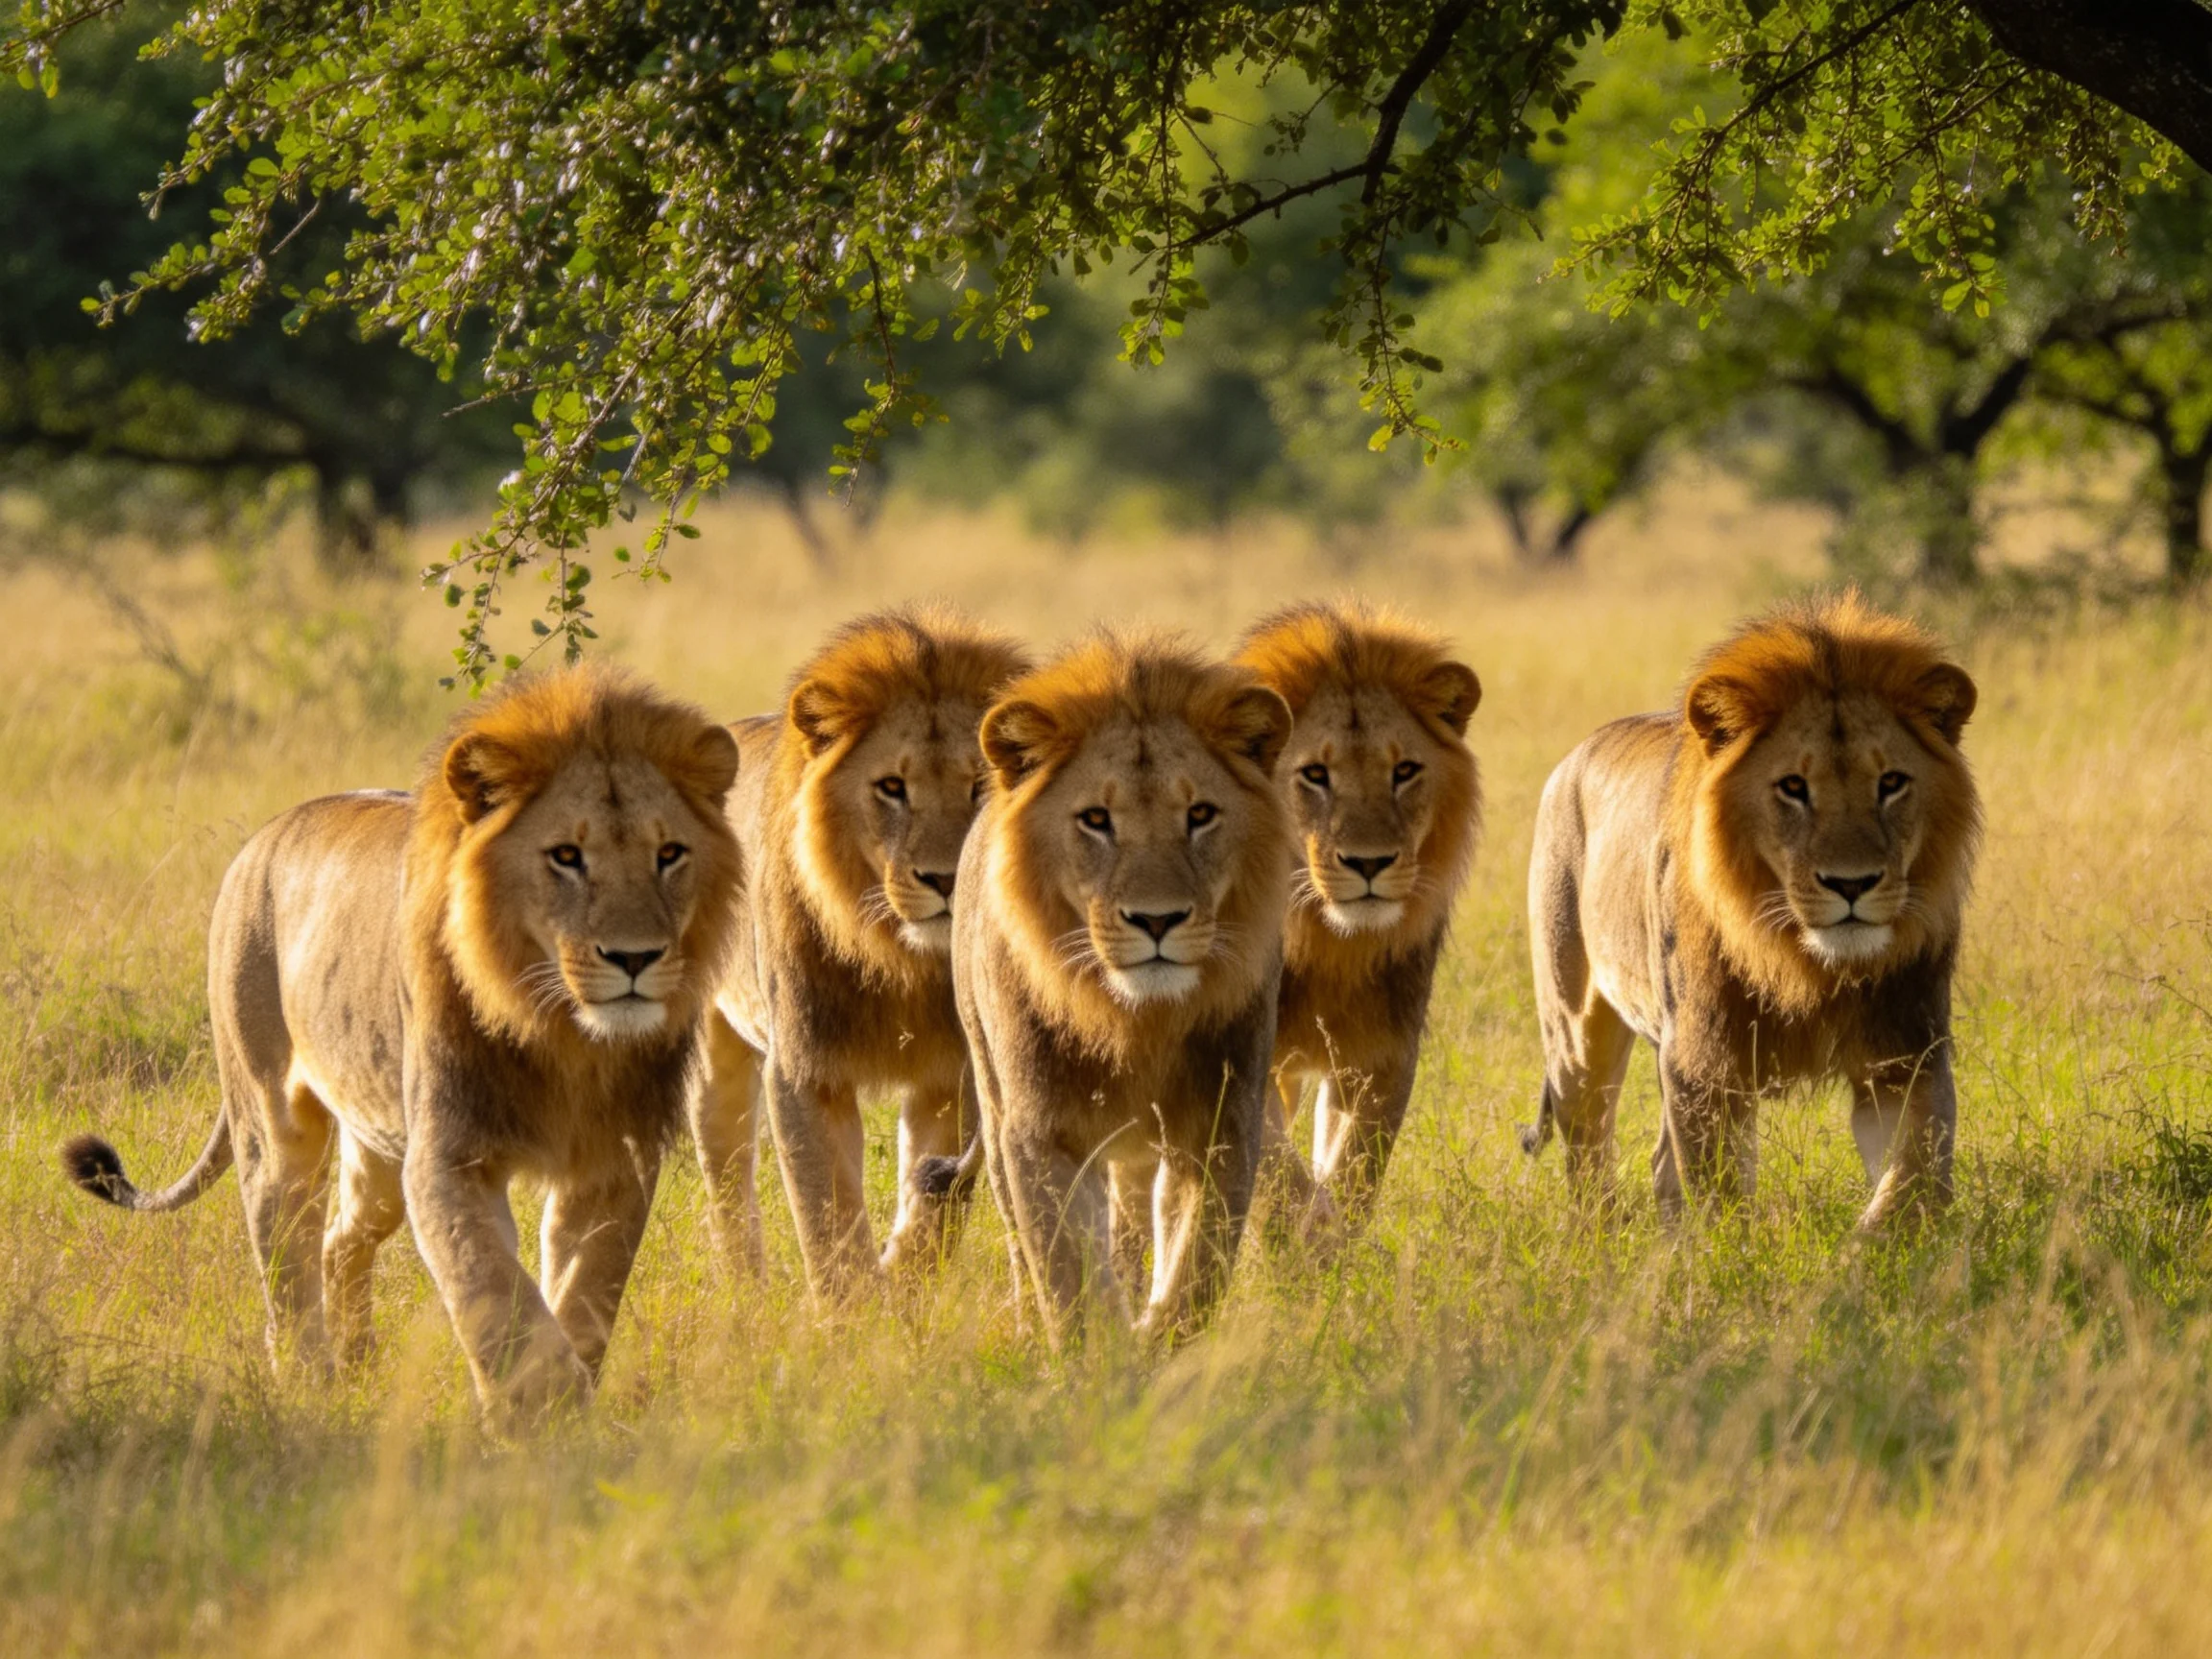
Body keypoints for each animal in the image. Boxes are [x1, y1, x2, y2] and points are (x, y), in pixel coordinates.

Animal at [59, 666, 742, 1426]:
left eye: (669, 854)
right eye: (567, 856)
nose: (635, 958)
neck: (563, 1032)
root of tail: (264, 834)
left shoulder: (616, 1160)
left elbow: (586, 1290)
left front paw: (568, 1407)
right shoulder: (447, 1157)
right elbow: (493, 1290)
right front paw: (538, 1408)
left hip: (379, 1143)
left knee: (340, 1239)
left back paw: (358, 1364)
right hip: (273, 1122)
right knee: (285, 1258)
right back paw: (309, 1383)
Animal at [692, 605, 1031, 1299]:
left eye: (979, 785)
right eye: (892, 787)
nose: (945, 878)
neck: (902, 958)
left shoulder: (950, 1073)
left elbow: (933, 1209)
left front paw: (903, 1285)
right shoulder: (806, 1068)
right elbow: (829, 1216)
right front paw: (853, 1312)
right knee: (725, 1170)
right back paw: (747, 1290)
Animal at [953, 633, 1293, 1348]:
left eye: (1200, 814)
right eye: (1095, 819)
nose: (1157, 920)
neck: (1136, 1019)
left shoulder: (1222, 1123)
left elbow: (1197, 1265)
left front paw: (1159, 1345)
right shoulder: (1040, 1131)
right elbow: (1067, 1273)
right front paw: (1100, 1358)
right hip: (992, 1111)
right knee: (1020, 1241)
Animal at [1233, 600, 1482, 1234]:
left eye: (1405, 771)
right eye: (1315, 775)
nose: (1369, 863)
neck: (1330, 940)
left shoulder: (1383, 1055)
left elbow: (1358, 1168)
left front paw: (1337, 1238)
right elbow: (1278, 1173)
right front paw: (1307, 1231)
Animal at [1522, 592, 1980, 1228]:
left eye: (1891, 782)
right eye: (1793, 787)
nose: (1852, 883)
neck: (1805, 962)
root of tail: (1574, 757)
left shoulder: (1906, 1056)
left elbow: (1910, 1182)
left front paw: (1871, 1248)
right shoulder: (1703, 1067)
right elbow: (1722, 1204)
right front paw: (1740, 1255)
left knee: (1658, 1165)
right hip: (1574, 1032)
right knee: (1588, 1152)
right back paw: (1601, 1239)